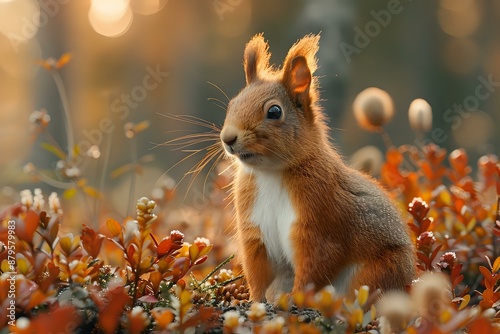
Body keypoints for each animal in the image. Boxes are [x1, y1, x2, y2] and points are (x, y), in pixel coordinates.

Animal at [221, 34, 416, 302]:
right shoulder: (254, 229)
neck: (271, 173)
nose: (227, 138)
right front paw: (255, 301)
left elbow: (314, 267)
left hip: (378, 273)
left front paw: (296, 298)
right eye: (232, 104)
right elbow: (258, 273)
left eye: (274, 111)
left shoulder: (319, 224)